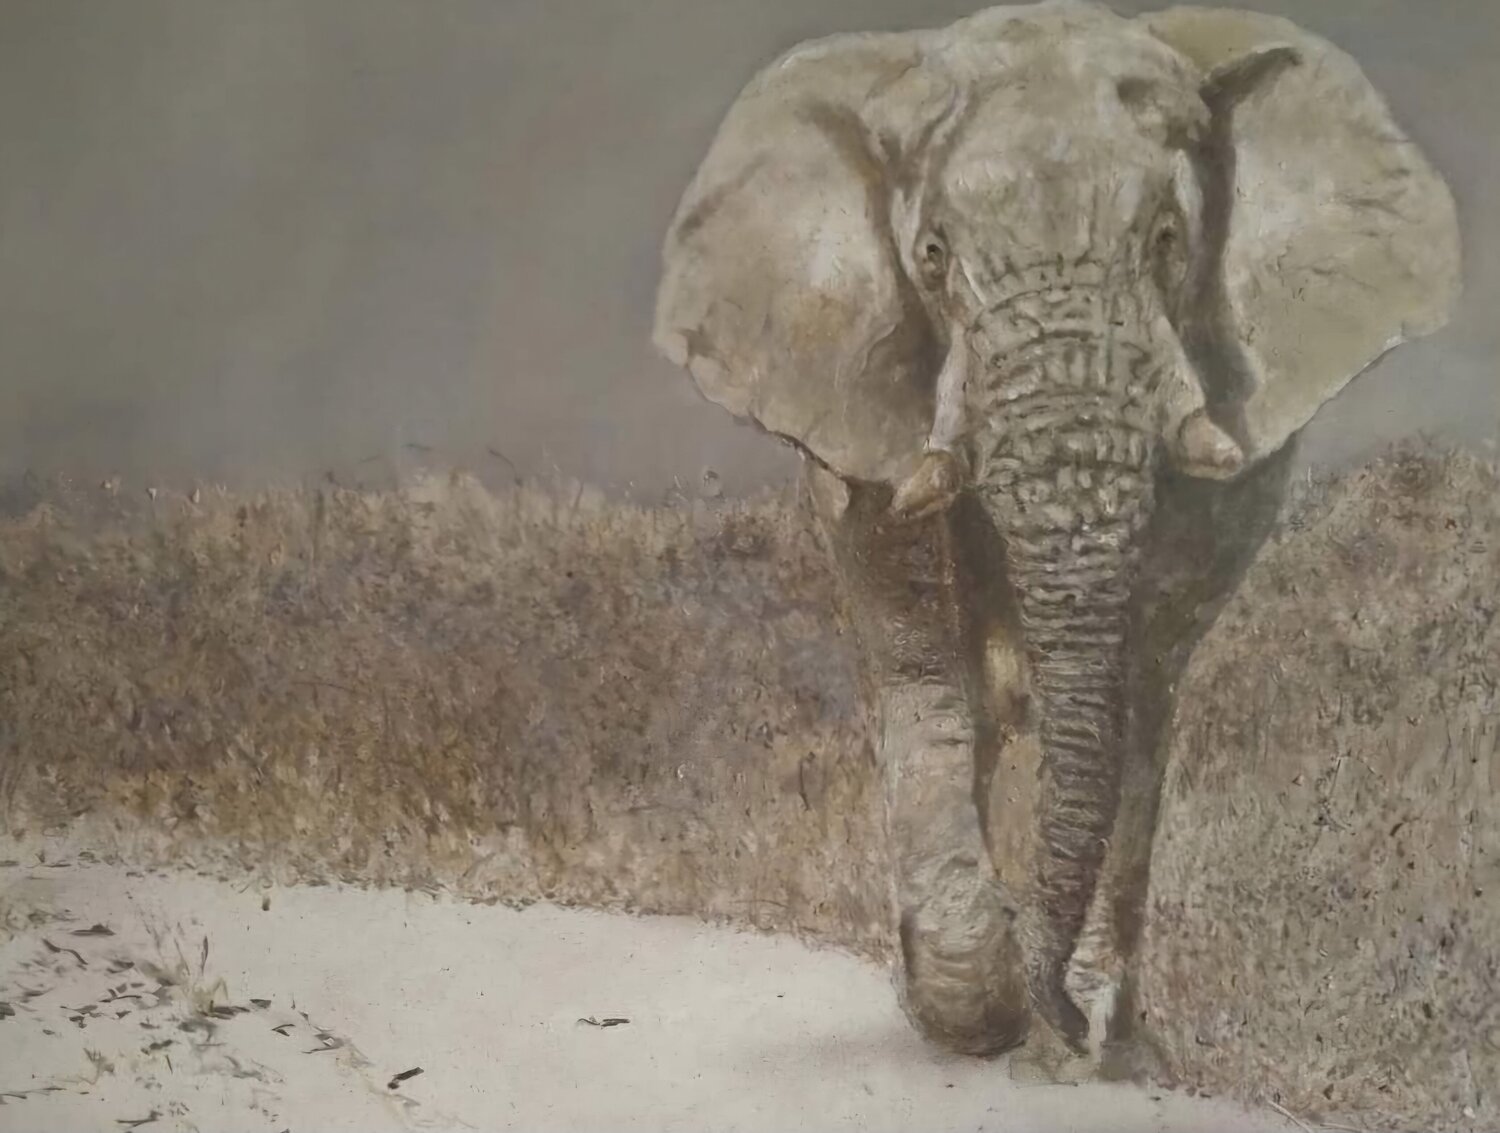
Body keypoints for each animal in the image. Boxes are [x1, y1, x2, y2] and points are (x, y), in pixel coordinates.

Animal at [652, 1, 1460, 1056]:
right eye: (932, 258)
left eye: (1167, 239)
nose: (1063, 1024)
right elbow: (920, 648)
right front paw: (973, 999)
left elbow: (1143, 654)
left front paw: (1073, 1022)